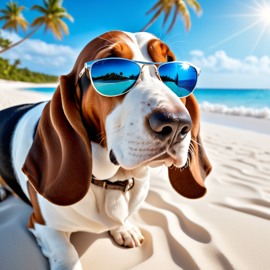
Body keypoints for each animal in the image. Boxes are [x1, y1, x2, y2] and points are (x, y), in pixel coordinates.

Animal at [0, 31, 211, 270]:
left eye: (171, 64)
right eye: (111, 62)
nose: (176, 124)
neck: (110, 182)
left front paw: (124, 228)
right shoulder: (41, 224)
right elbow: (66, 253)